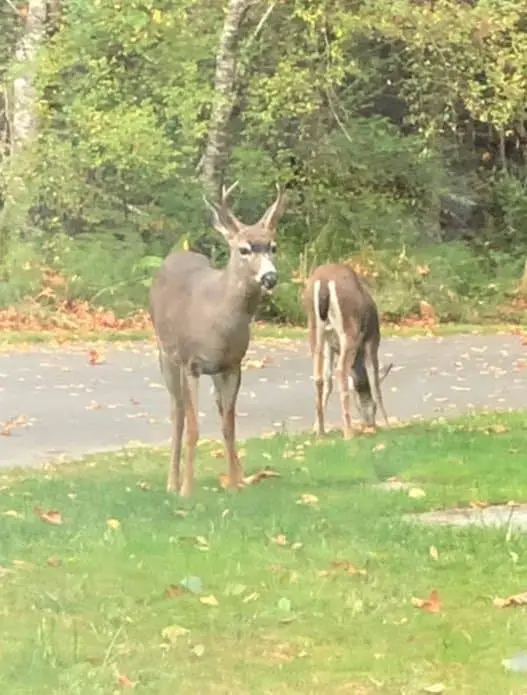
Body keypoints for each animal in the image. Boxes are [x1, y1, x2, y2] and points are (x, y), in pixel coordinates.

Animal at [151, 182, 286, 498]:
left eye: (273, 246)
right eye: (244, 249)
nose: (270, 278)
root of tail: (175, 255)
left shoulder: (233, 365)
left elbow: (229, 424)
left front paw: (236, 484)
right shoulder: (191, 363)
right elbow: (193, 428)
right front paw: (187, 490)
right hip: (166, 354)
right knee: (177, 414)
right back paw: (171, 483)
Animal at [304, 264, 394, 438]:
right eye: (371, 406)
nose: (370, 423)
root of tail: (323, 281)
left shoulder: (331, 345)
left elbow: (328, 379)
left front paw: (315, 427)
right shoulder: (372, 340)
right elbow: (375, 381)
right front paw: (388, 423)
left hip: (313, 326)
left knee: (319, 376)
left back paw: (321, 432)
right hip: (349, 328)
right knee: (341, 370)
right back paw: (348, 432)